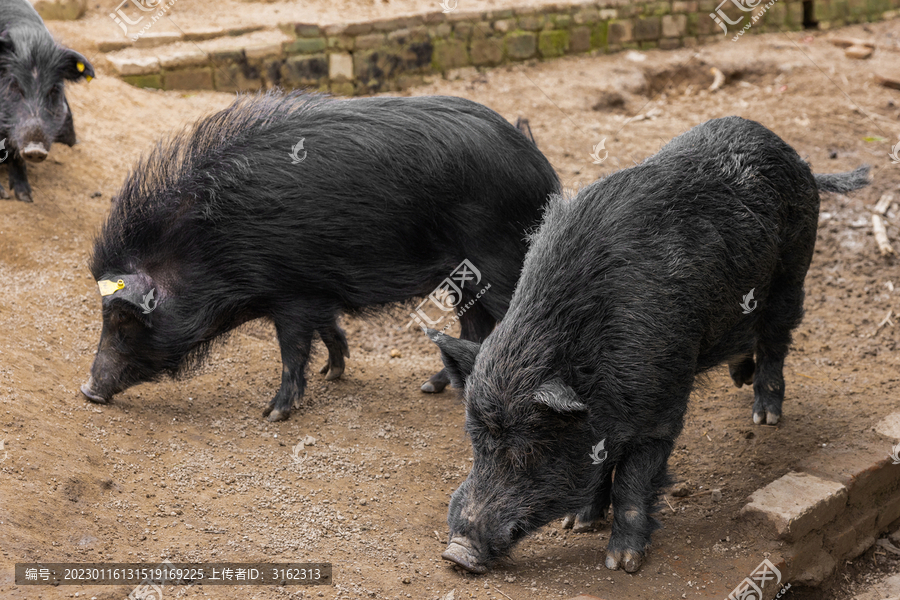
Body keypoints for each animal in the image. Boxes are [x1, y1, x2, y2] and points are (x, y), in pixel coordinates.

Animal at [82, 92, 564, 422]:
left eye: (123, 318)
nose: (87, 390)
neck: (209, 248)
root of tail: (542, 168)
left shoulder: (291, 292)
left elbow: (293, 349)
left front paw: (273, 413)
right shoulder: (315, 291)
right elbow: (329, 329)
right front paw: (334, 373)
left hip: (497, 263)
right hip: (463, 276)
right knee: (474, 327)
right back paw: (430, 387)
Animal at [432, 116, 868, 572]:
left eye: (530, 449)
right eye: (477, 444)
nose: (457, 552)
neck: (593, 360)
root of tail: (797, 158)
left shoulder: (662, 405)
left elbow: (632, 479)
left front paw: (622, 563)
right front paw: (578, 524)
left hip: (793, 273)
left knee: (776, 339)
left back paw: (765, 418)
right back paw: (740, 379)